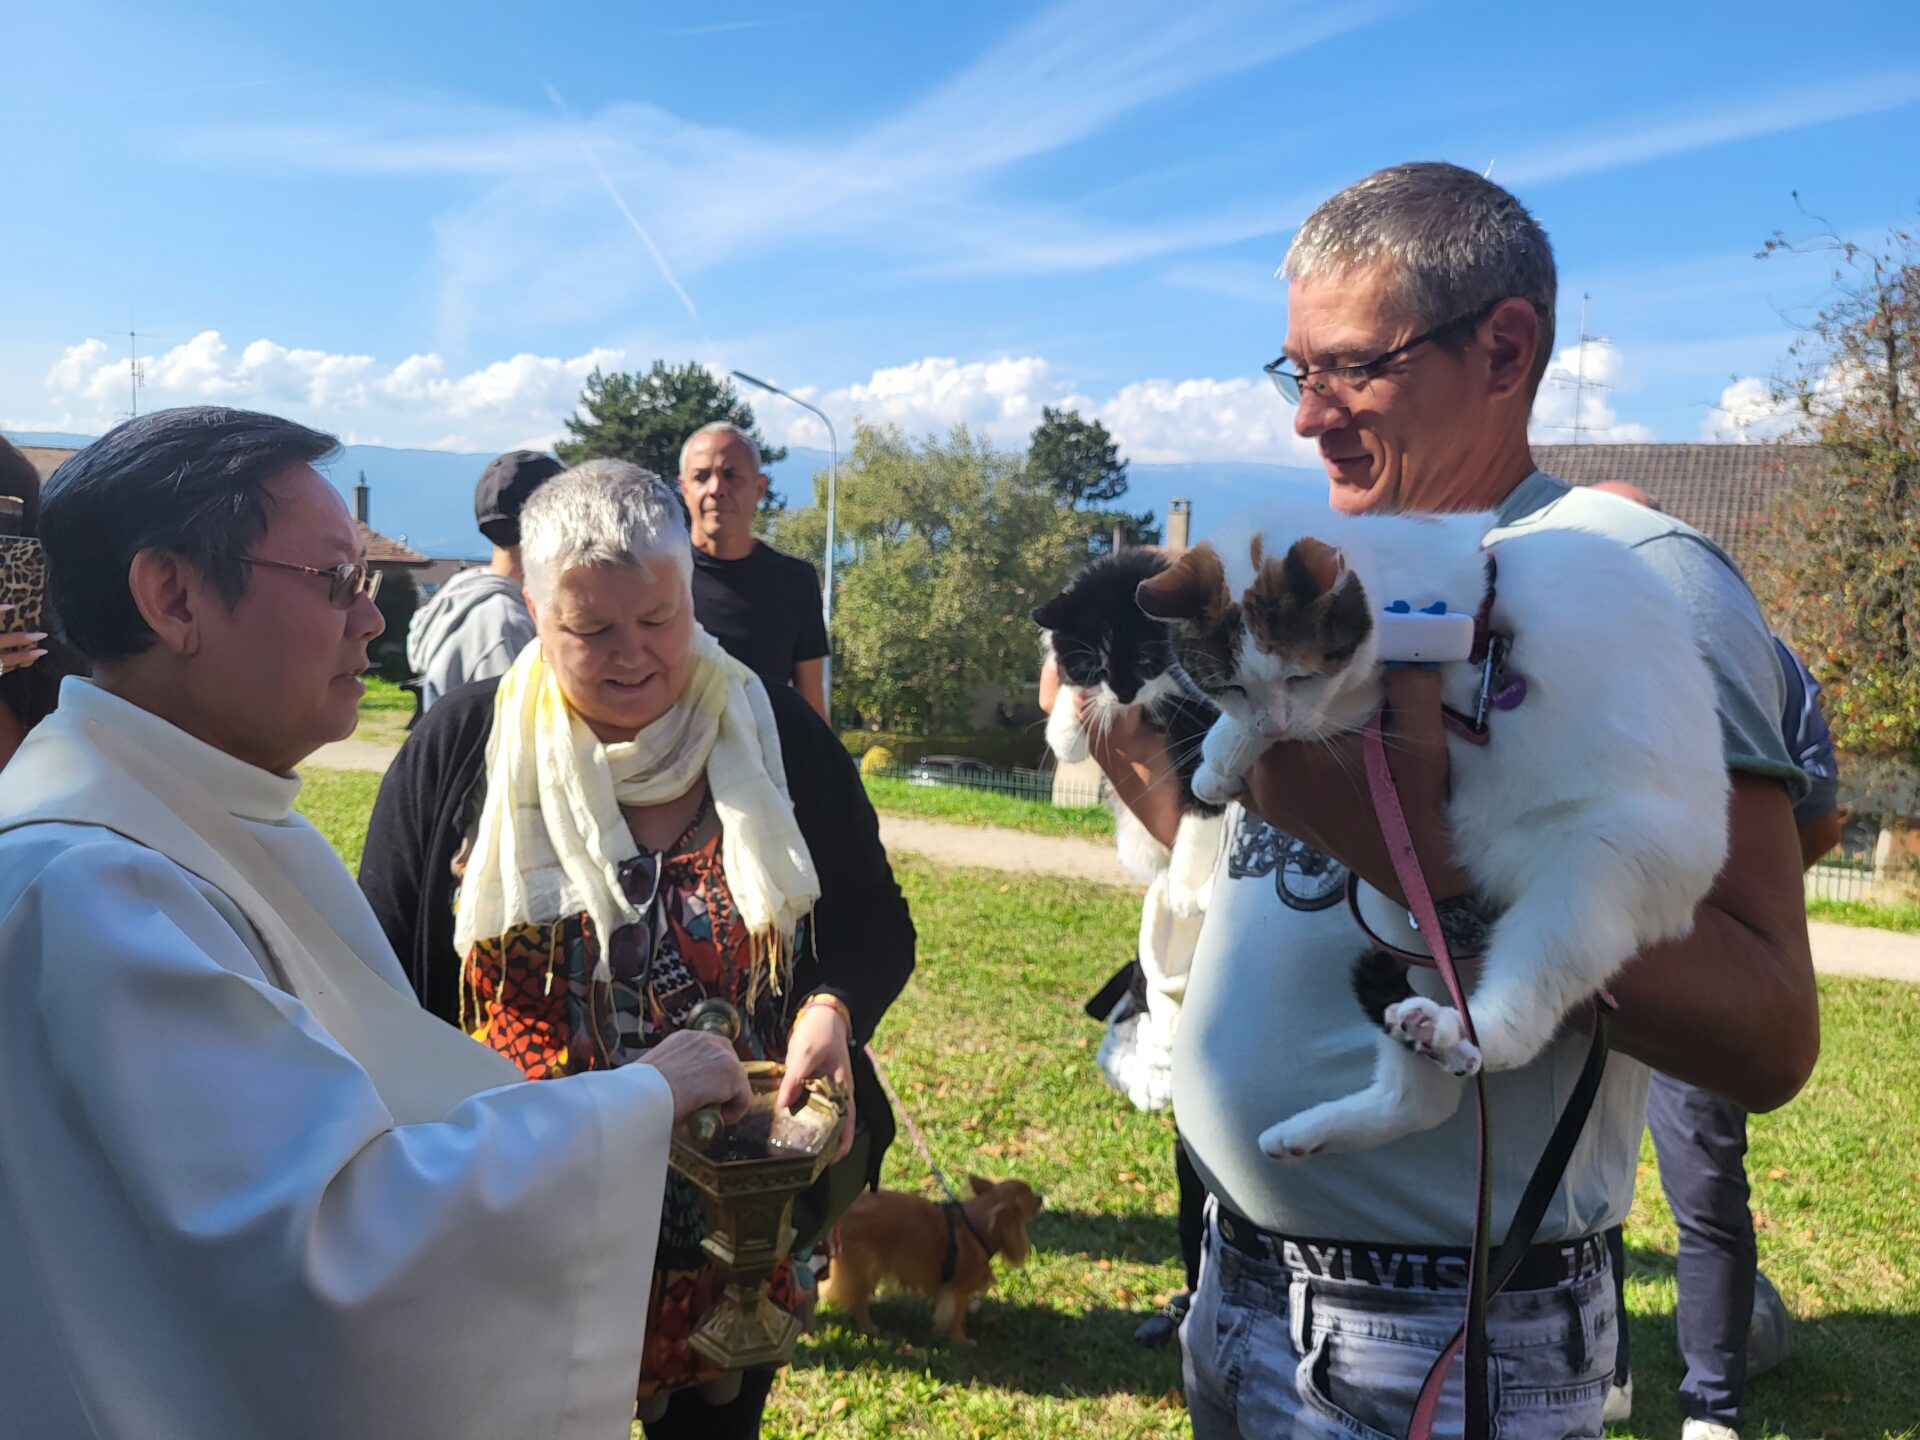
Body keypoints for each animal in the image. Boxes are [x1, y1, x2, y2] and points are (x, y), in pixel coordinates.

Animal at [817, 1175, 1044, 1351]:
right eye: (1030, 1196)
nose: (1041, 1197)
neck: (977, 1226)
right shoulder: (957, 1289)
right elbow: (956, 1317)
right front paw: (960, 1340)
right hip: (866, 1265)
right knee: (857, 1299)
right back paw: (869, 1326)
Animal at [1044, 552, 1221, 913]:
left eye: (1146, 657)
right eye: (1093, 666)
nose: (1124, 695)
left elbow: (1203, 803)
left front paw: (1185, 887)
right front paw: (1066, 733)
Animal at [1128, 503, 1735, 1159]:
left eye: (1301, 676)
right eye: (1231, 685)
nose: (1274, 721)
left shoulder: (1379, 688)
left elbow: (1317, 718)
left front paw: (1222, 756)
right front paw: (1229, 748)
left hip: (1588, 875)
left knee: (1518, 1022)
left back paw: (1452, 1033)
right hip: (1397, 916)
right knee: (1423, 1102)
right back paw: (1313, 1127)